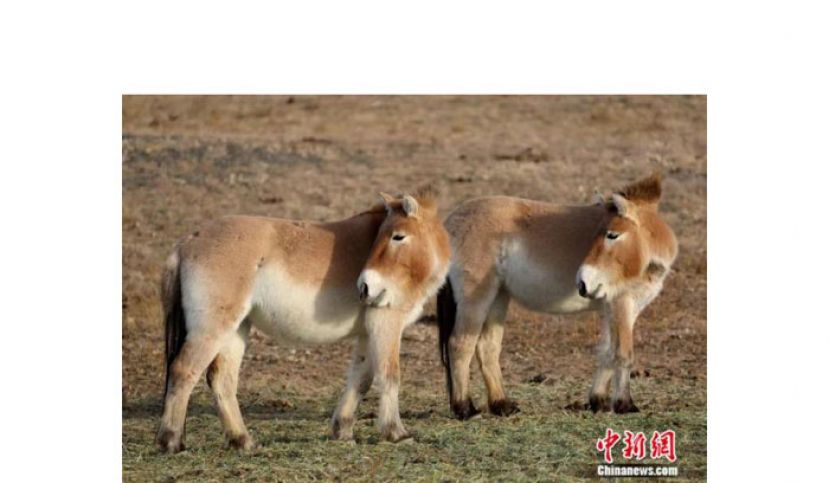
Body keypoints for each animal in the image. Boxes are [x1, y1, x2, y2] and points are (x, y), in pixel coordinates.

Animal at [156, 190, 450, 453]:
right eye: (383, 235)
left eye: (397, 236)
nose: (364, 287)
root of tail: (185, 243)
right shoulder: (386, 324)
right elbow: (389, 375)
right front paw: (397, 433)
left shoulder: (368, 334)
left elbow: (361, 380)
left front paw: (343, 431)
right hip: (213, 329)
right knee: (184, 370)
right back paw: (172, 442)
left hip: (236, 330)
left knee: (221, 380)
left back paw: (243, 441)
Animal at [437, 174, 678, 419]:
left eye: (612, 234)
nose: (582, 283)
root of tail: (451, 222)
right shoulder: (621, 304)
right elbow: (623, 354)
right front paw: (624, 405)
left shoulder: (615, 309)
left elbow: (607, 352)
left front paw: (598, 401)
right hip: (475, 300)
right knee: (460, 344)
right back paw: (464, 408)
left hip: (498, 297)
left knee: (487, 348)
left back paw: (502, 405)